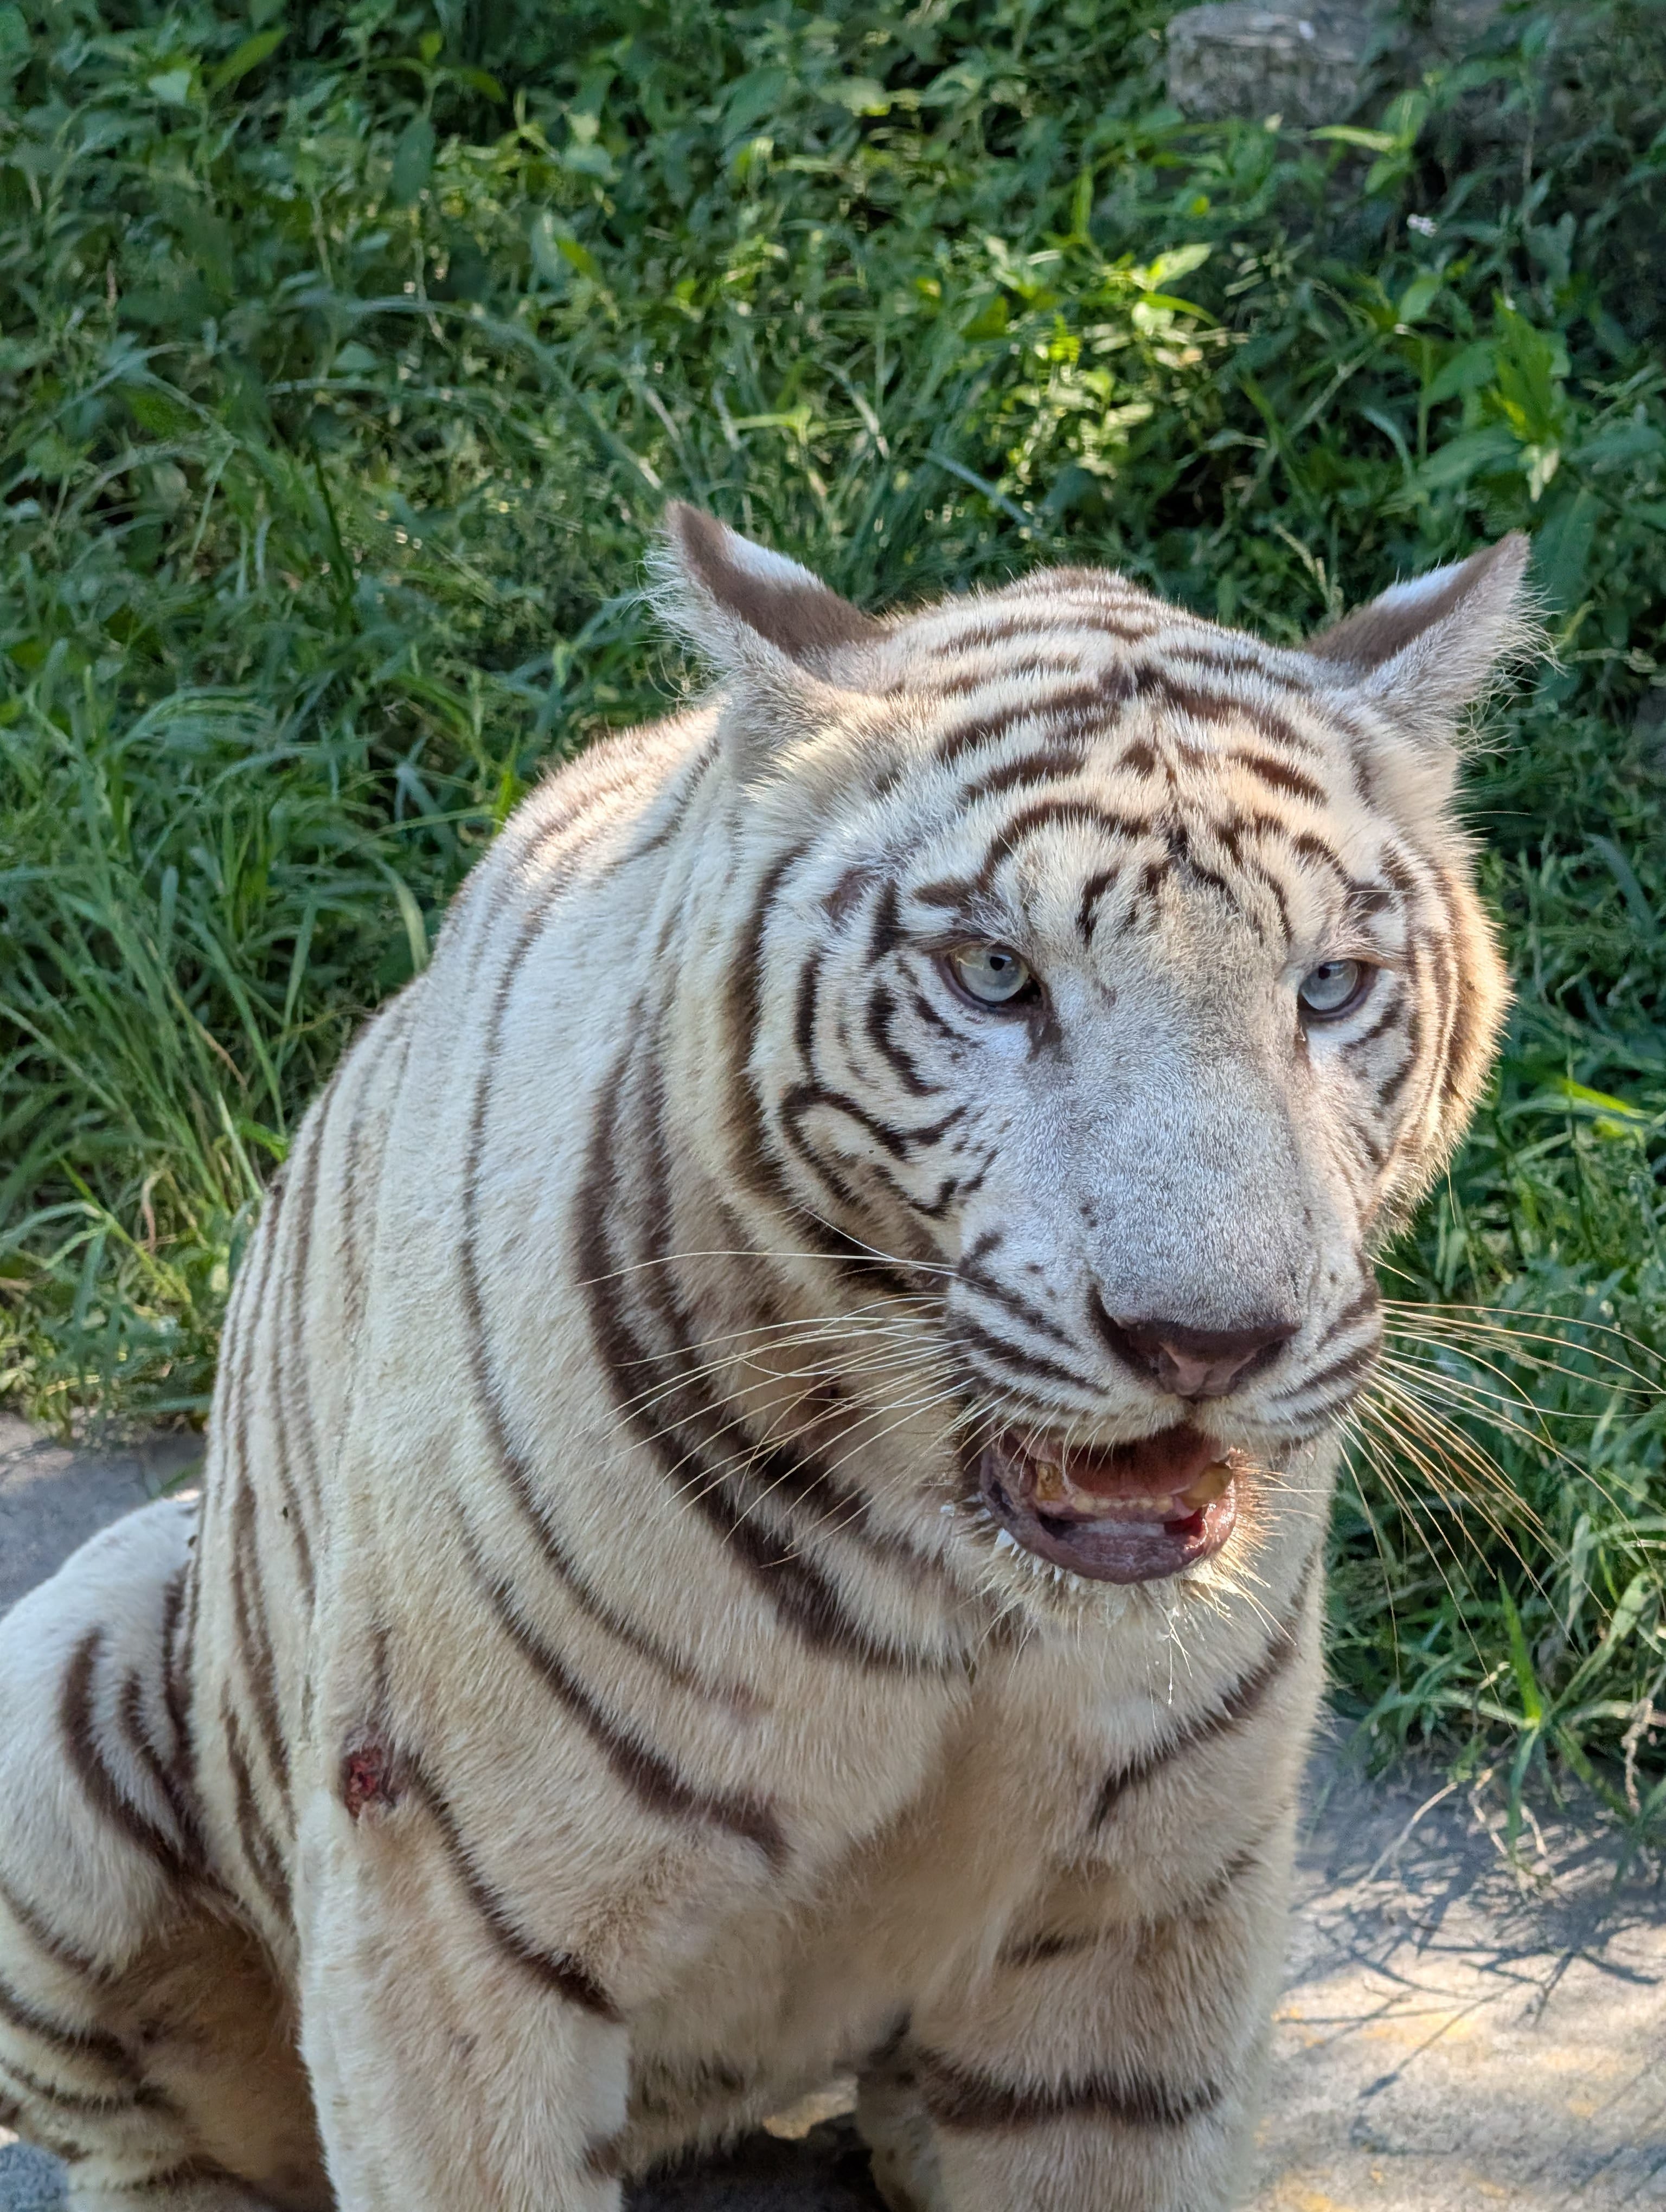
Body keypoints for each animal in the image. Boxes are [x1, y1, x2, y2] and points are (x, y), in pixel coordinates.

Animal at [0, 503, 1529, 2212]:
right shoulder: (438, 1891)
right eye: (993, 974)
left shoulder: (1153, 1911)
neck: (968, 1610)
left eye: (1326, 985)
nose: (1204, 1338)